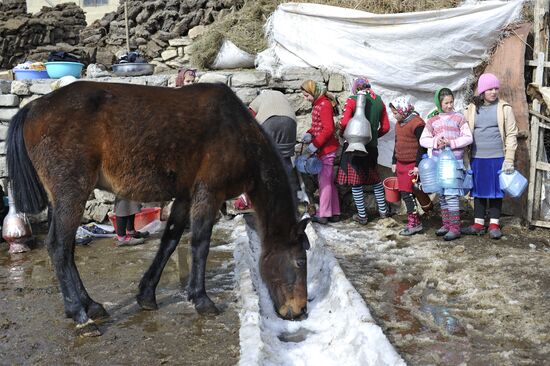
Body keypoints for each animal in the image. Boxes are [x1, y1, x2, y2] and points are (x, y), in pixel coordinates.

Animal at [7, 81, 310, 336]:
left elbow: (170, 241)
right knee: (59, 247)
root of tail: (33, 106)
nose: (300, 310)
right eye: (300, 261)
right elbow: (200, 243)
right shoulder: (208, 193)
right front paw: (201, 299)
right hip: (72, 194)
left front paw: (146, 295)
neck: (238, 133)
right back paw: (81, 317)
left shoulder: (185, 197)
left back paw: (91, 305)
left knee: (67, 251)